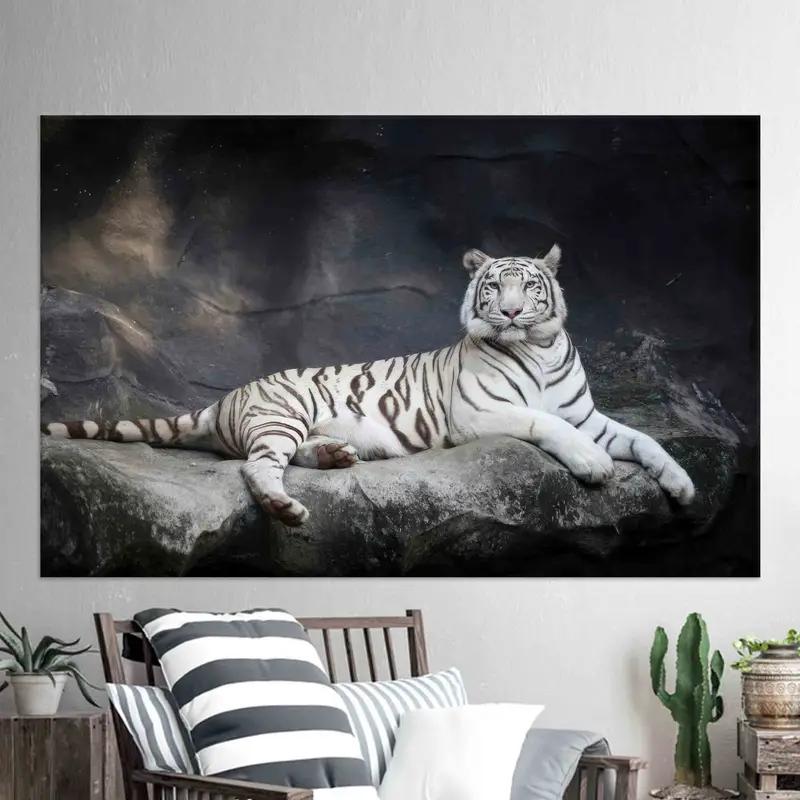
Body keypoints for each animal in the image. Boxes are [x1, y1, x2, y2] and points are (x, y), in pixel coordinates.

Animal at [41, 244, 696, 527]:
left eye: (529, 287)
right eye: (493, 287)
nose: (510, 313)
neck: (537, 346)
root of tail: (224, 398)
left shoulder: (587, 413)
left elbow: (642, 439)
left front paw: (683, 485)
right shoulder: (480, 414)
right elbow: (546, 422)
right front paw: (594, 466)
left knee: (281, 458)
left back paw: (336, 455)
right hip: (281, 414)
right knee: (256, 468)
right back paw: (286, 506)